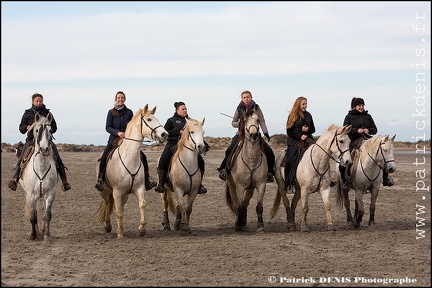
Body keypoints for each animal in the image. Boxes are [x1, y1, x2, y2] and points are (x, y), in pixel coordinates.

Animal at [19, 112, 57, 241]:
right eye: (36, 130)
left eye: (50, 130)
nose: (44, 149)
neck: (41, 168)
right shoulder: (31, 195)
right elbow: (33, 216)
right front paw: (33, 235)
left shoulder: (50, 194)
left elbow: (47, 215)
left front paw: (47, 235)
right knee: (34, 212)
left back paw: (43, 230)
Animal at [96, 104, 169, 237]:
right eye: (149, 119)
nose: (164, 134)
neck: (129, 158)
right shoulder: (117, 191)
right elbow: (118, 212)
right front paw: (120, 234)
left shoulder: (139, 188)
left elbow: (142, 204)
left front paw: (141, 229)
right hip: (104, 191)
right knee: (107, 203)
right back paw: (108, 226)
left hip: (124, 195)